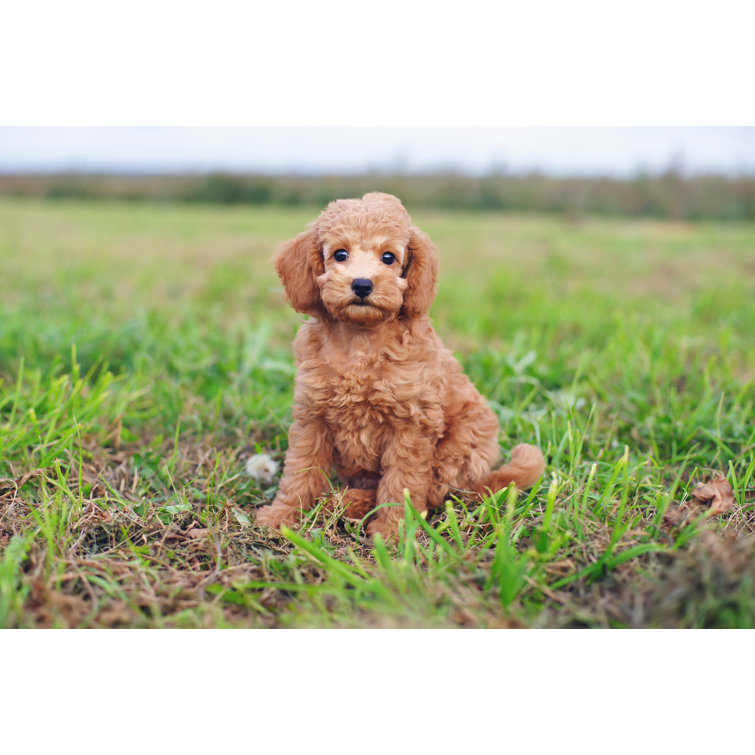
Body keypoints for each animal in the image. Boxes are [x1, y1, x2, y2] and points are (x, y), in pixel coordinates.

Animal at [256, 193, 548, 536]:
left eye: (388, 257)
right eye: (340, 254)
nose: (362, 285)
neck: (361, 340)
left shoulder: (412, 424)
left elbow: (402, 482)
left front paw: (393, 532)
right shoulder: (312, 417)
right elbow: (299, 471)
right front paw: (283, 516)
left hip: (460, 447)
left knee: (435, 492)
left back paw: (348, 502)